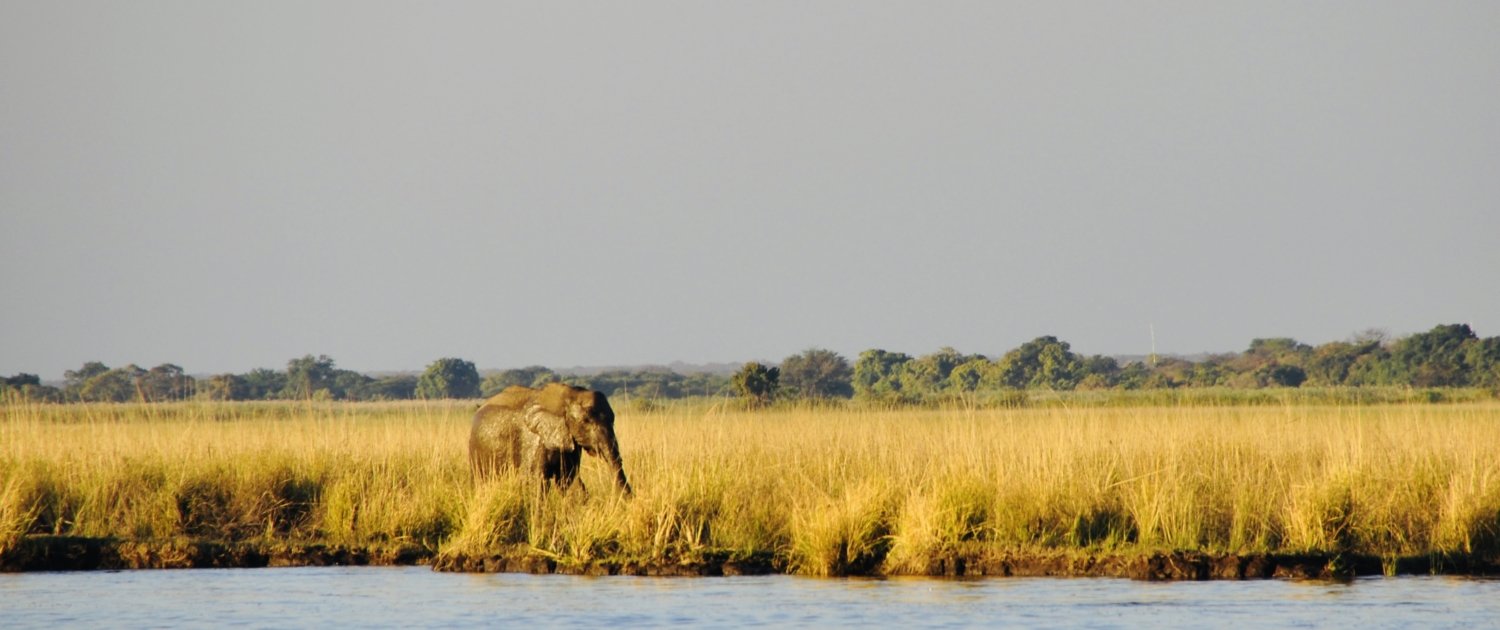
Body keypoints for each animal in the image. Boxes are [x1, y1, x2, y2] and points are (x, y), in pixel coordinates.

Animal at [468, 381, 633, 495]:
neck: (568, 395)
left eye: (613, 419)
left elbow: (568, 480)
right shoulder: (535, 440)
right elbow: (536, 482)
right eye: (586, 421)